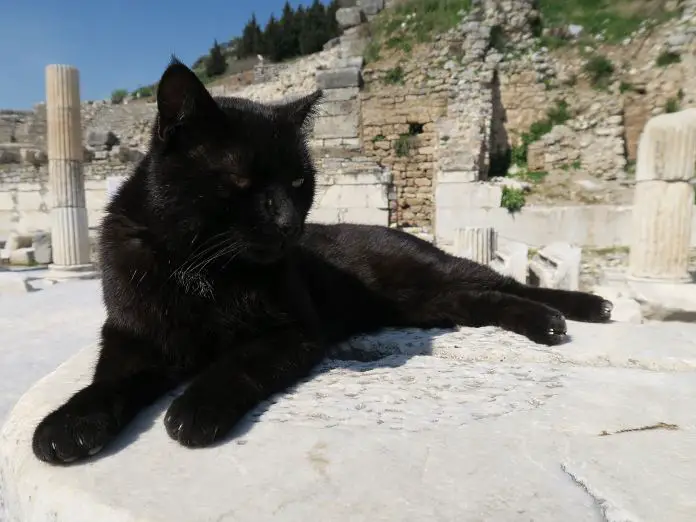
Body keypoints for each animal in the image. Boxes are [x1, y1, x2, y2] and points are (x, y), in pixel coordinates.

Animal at [31, 58, 608, 464]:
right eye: (240, 180)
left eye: (297, 182)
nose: (290, 224)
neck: (199, 269)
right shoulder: (131, 333)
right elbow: (108, 380)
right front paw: (67, 426)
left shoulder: (294, 330)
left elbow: (236, 362)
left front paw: (194, 409)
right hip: (432, 303)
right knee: (485, 298)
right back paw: (546, 322)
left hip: (439, 273)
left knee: (509, 282)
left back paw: (577, 310)